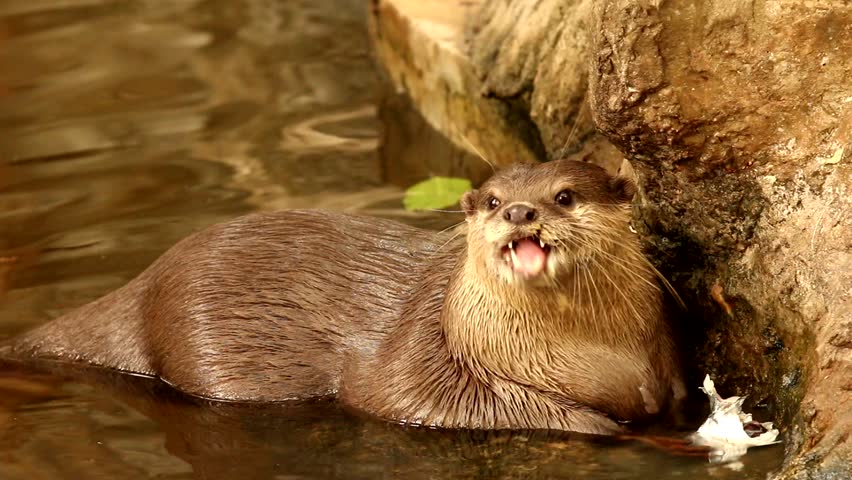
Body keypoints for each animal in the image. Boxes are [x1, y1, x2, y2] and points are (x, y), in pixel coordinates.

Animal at [3, 159, 684, 434]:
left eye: (564, 195)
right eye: (492, 200)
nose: (519, 211)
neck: (591, 359)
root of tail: (144, 283)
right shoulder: (426, 357)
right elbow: (404, 396)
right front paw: (600, 427)